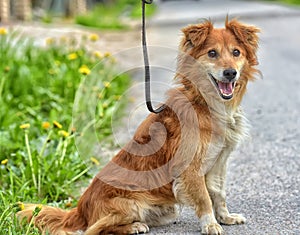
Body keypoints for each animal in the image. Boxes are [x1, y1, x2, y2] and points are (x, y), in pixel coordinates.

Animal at [17, 18, 260, 235]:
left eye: (236, 53)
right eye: (212, 53)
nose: (230, 72)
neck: (206, 103)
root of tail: (79, 210)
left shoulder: (218, 162)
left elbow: (218, 194)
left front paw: (225, 217)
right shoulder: (189, 168)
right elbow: (203, 198)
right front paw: (210, 225)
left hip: (167, 210)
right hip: (130, 204)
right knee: (95, 229)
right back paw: (134, 226)